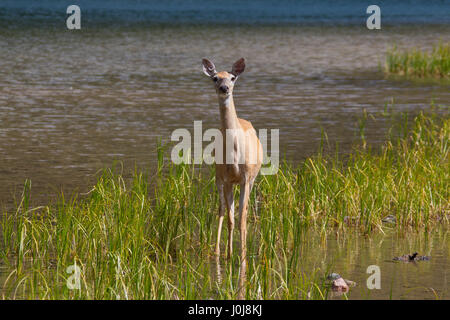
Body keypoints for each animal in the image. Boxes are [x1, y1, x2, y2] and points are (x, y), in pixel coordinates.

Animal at [201, 57, 262, 298]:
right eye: (215, 78)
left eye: (233, 77)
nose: (224, 88)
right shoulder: (226, 179)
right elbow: (229, 218)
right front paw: (228, 255)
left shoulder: (246, 178)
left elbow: (243, 218)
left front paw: (243, 258)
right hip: (218, 179)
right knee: (220, 210)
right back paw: (218, 252)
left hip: (250, 180)